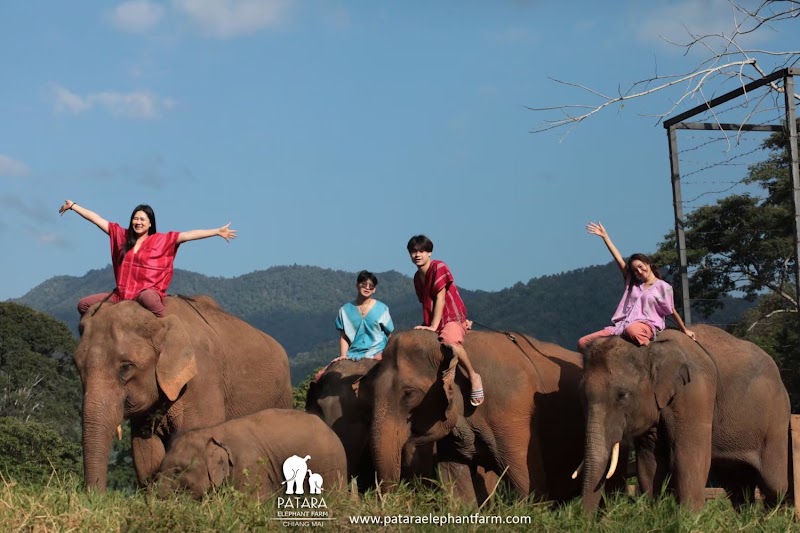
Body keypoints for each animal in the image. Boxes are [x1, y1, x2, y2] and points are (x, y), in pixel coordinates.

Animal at [73, 295, 293, 490]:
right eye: (76, 366)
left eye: (126, 367)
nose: (96, 497)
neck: (160, 321)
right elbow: (145, 450)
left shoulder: (203, 381)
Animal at [579, 324, 790, 512]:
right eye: (584, 395)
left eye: (622, 395)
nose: (585, 521)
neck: (653, 347)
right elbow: (649, 462)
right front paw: (656, 512)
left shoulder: (695, 391)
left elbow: (687, 456)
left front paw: (691, 518)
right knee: (737, 484)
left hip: (776, 418)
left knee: (774, 484)